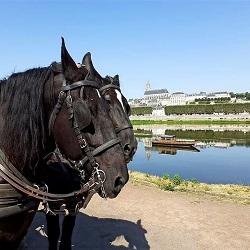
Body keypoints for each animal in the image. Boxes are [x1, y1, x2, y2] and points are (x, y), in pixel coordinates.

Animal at [0, 38, 131, 248]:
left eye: (126, 105)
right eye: (85, 111)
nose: (120, 179)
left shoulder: (71, 204)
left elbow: (66, 237)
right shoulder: (52, 204)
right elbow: (54, 236)